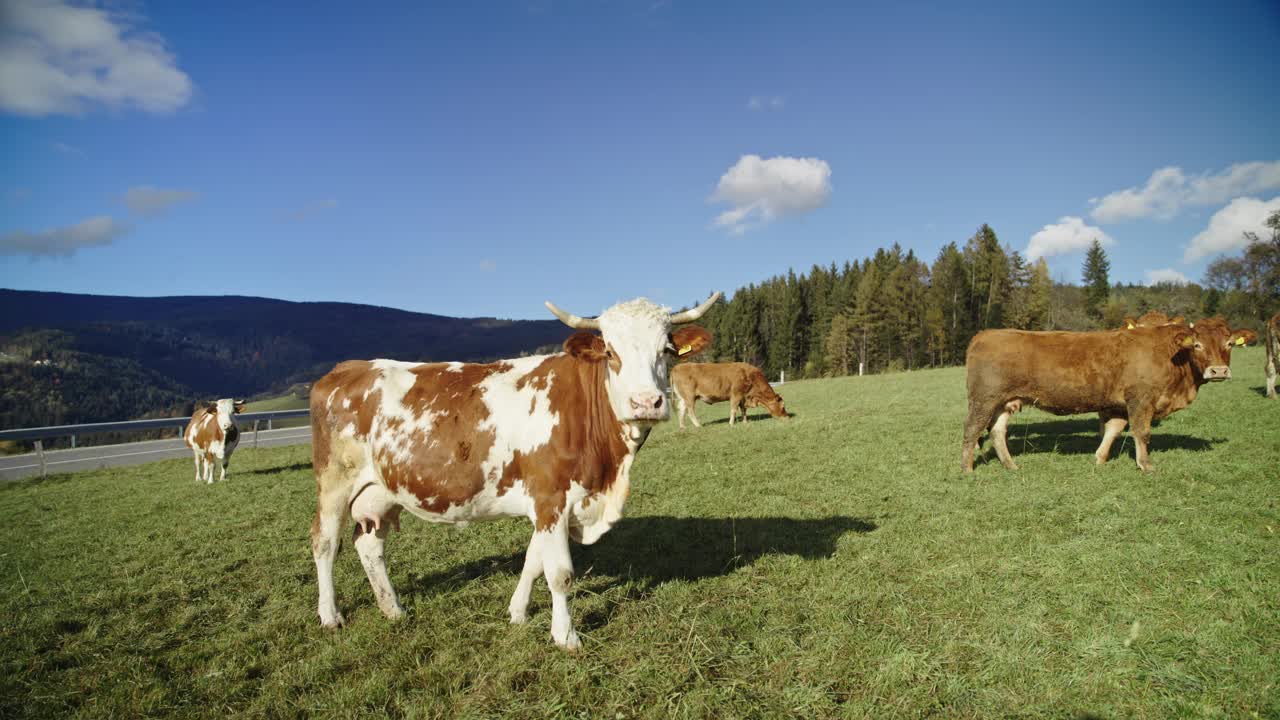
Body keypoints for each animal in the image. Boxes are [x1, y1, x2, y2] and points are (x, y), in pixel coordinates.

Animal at [304, 289, 716, 645]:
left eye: (666, 350)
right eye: (611, 353)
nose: (647, 402)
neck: (609, 473)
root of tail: (347, 368)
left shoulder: (551, 502)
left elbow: (534, 561)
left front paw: (518, 612)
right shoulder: (551, 497)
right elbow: (560, 574)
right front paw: (566, 637)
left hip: (380, 491)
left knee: (369, 544)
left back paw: (393, 609)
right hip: (334, 482)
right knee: (325, 543)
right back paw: (330, 615)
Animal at [962, 316, 1254, 474]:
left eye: (1229, 344)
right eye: (1197, 345)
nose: (1219, 370)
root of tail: (985, 334)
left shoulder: (1118, 404)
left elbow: (1113, 430)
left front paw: (1100, 458)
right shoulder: (1141, 399)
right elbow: (1141, 432)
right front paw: (1145, 465)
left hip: (1003, 403)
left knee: (997, 432)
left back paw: (1011, 466)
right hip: (984, 400)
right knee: (972, 431)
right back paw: (967, 469)